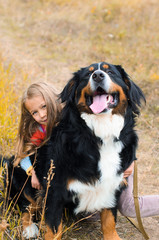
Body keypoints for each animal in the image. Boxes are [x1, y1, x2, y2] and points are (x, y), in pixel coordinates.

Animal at [2, 62, 145, 240]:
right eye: (88, 75)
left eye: (110, 71)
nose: (98, 76)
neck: (101, 133)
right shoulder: (54, 190)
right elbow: (54, 229)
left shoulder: (113, 184)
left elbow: (109, 220)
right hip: (19, 174)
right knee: (25, 204)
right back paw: (29, 228)